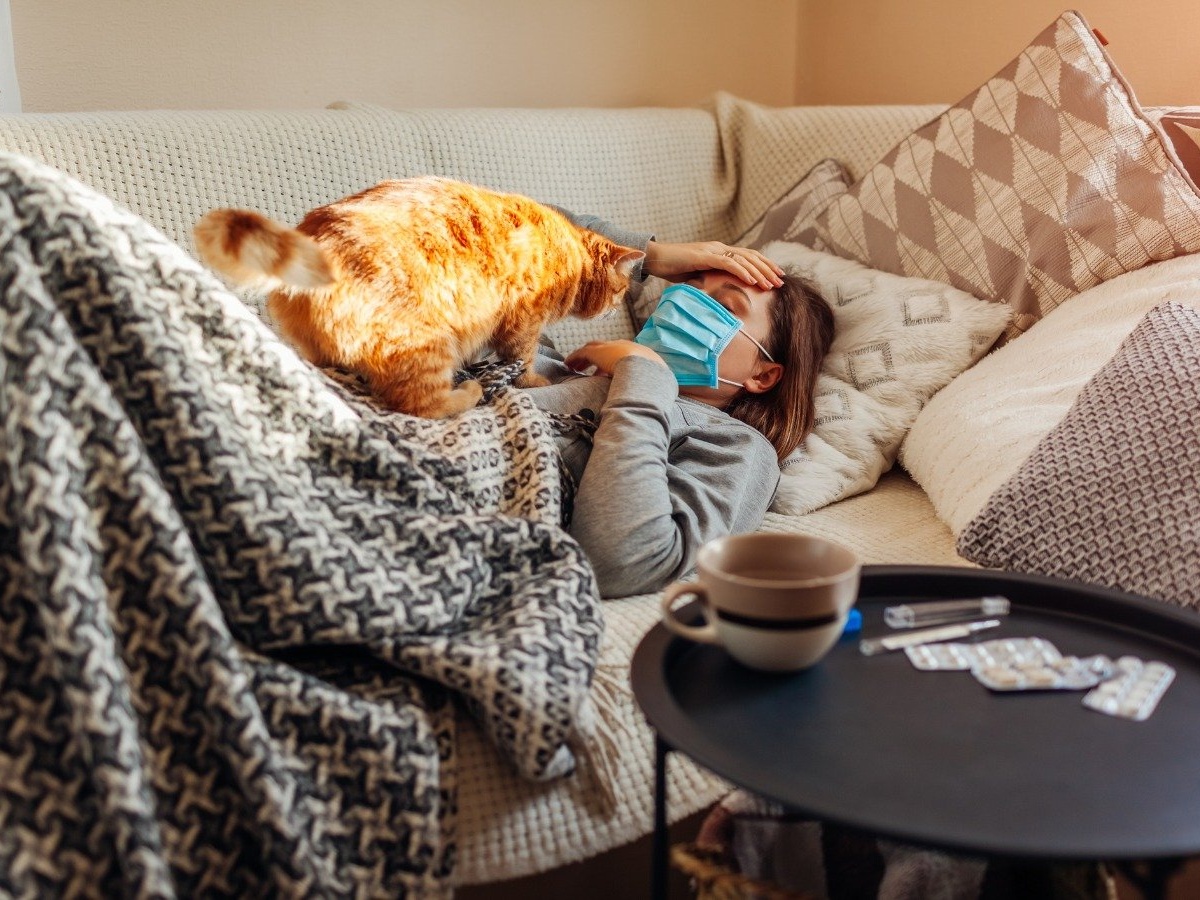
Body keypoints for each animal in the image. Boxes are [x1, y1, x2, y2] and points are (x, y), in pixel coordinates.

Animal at [194, 177, 648, 422]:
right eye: (620, 291)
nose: (616, 304)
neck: (571, 252)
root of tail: (317, 233)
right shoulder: (523, 324)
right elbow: (523, 361)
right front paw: (535, 381)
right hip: (426, 343)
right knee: (420, 404)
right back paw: (468, 393)